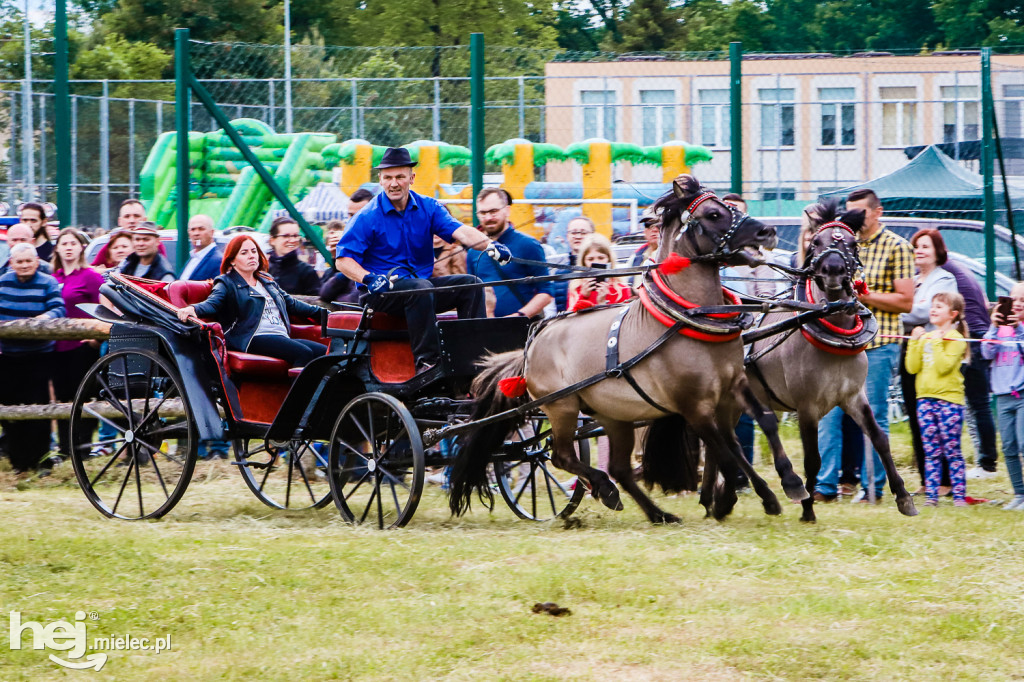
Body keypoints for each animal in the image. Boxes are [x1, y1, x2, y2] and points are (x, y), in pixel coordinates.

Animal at [448, 174, 806, 520]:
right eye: (713, 214)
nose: (767, 231)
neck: (688, 318)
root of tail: (535, 339)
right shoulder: (693, 406)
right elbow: (726, 451)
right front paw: (734, 495)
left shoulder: (734, 384)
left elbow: (763, 423)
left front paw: (787, 483)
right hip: (562, 407)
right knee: (558, 455)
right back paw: (605, 488)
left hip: (612, 415)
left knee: (618, 467)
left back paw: (657, 512)